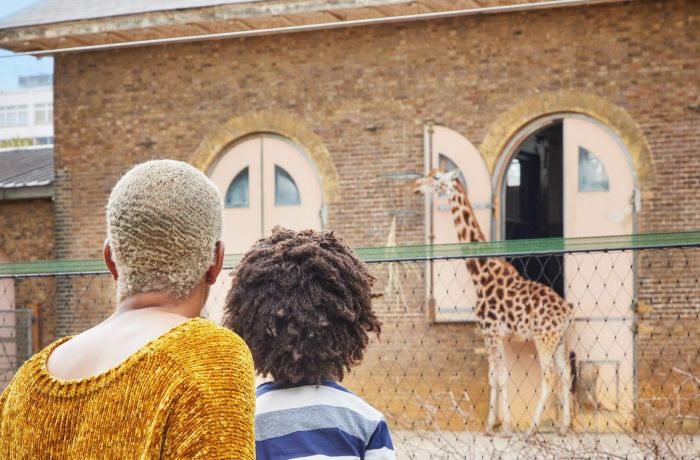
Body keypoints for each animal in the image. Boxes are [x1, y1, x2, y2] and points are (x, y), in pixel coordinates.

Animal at [415, 169, 573, 435]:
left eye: (436, 178)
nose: (416, 185)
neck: (481, 273)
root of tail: (567, 313)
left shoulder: (492, 331)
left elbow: (500, 377)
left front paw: (502, 426)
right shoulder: (492, 334)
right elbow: (493, 377)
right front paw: (491, 425)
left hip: (544, 338)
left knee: (550, 375)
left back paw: (532, 428)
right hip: (560, 340)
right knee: (566, 374)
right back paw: (564, 427)